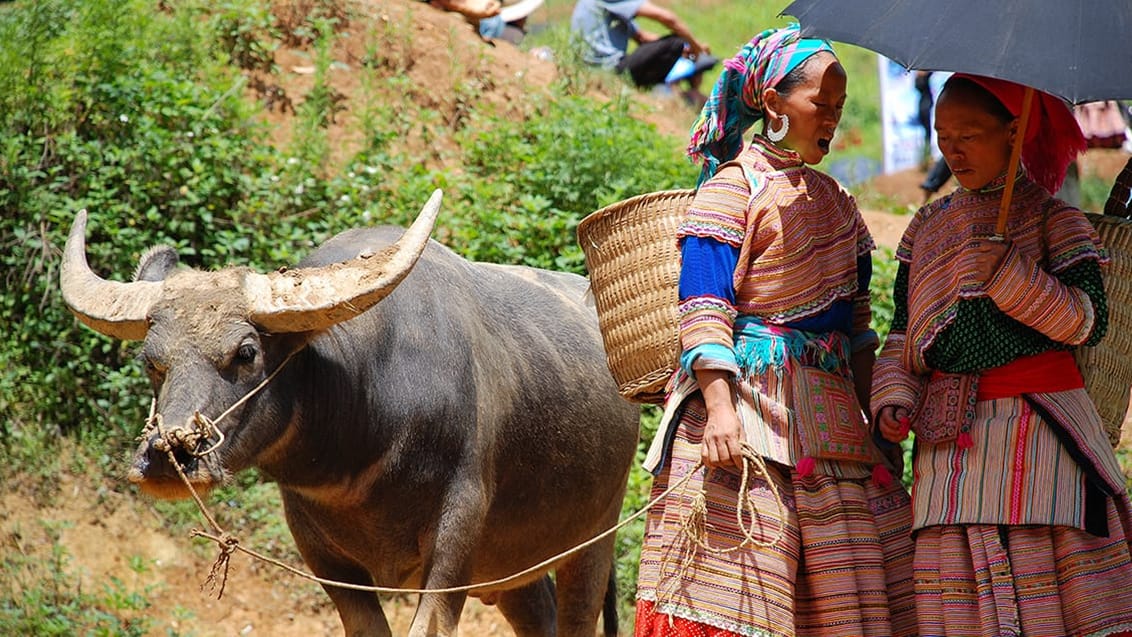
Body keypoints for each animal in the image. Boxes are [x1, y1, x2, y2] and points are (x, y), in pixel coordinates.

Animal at [59, 191, 638, 637]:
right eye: (151, 362)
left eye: (246, 352)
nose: (167, 456)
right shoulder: (323, 555)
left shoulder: (457, 539)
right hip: (514, 567)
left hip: (595, 538)